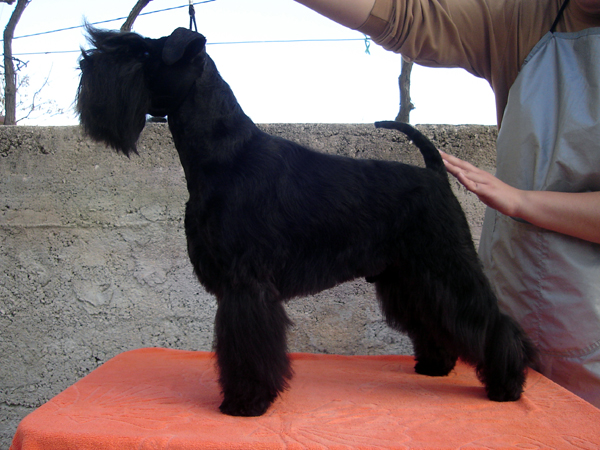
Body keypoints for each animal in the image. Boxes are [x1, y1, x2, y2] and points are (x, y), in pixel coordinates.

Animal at [76, 26, 536, 417]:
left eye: (143, 52)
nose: (85, 65)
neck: (223, 153)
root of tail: (434, 172)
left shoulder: (246, 284)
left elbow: (247, 347)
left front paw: (245, 402)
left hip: (445, 263)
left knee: (490, 320)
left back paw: (507, 385)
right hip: (410, 276)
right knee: (433, 318)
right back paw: (435, 365)